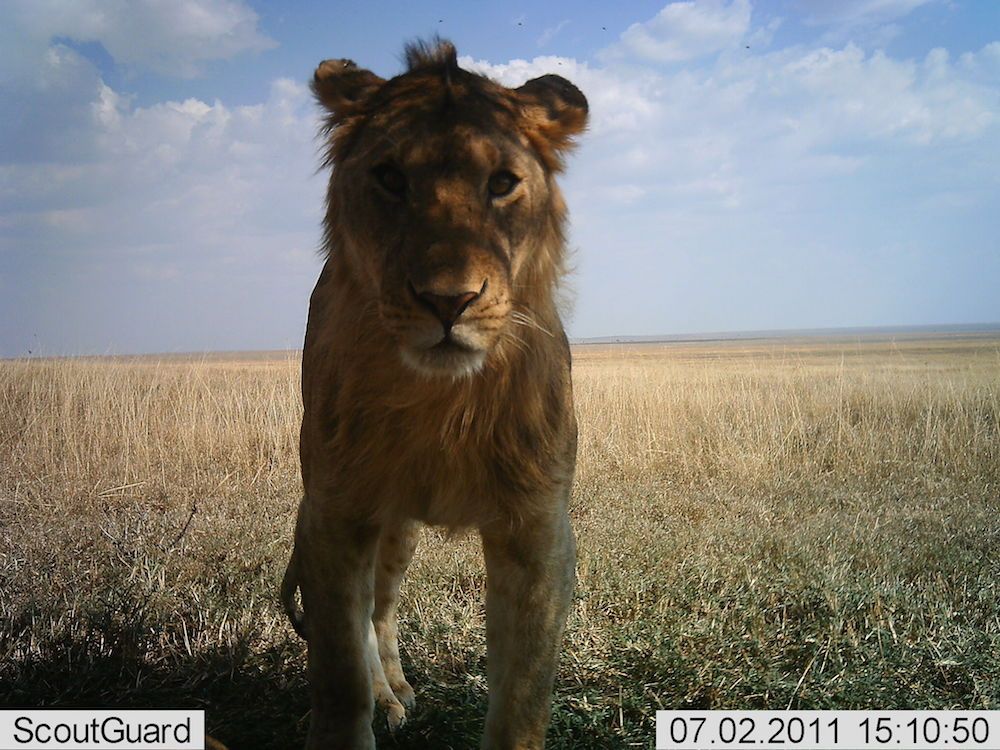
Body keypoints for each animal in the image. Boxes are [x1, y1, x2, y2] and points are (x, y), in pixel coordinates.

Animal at [282, 41, 588, 750]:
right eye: (391, 178)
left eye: (501, 183)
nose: (449, 301)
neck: (440, 401)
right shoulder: (334, 511)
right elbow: (338, 671)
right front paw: (358, 707)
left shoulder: (536, 530)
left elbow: (523, 696)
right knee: (369, 614)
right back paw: (386, 697)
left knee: (383, 605)